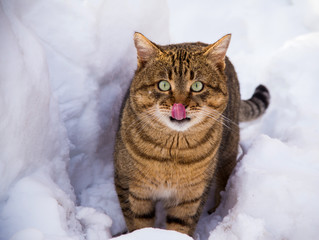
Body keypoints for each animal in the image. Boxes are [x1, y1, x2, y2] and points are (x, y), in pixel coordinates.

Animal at [114, 32, 272, 236]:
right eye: (163, 85)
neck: (172, 152)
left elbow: (180, 227)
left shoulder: (191, 197)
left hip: (228, 151)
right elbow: (139, 225)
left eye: (197, 86)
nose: (179, 105)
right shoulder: (130, 188)